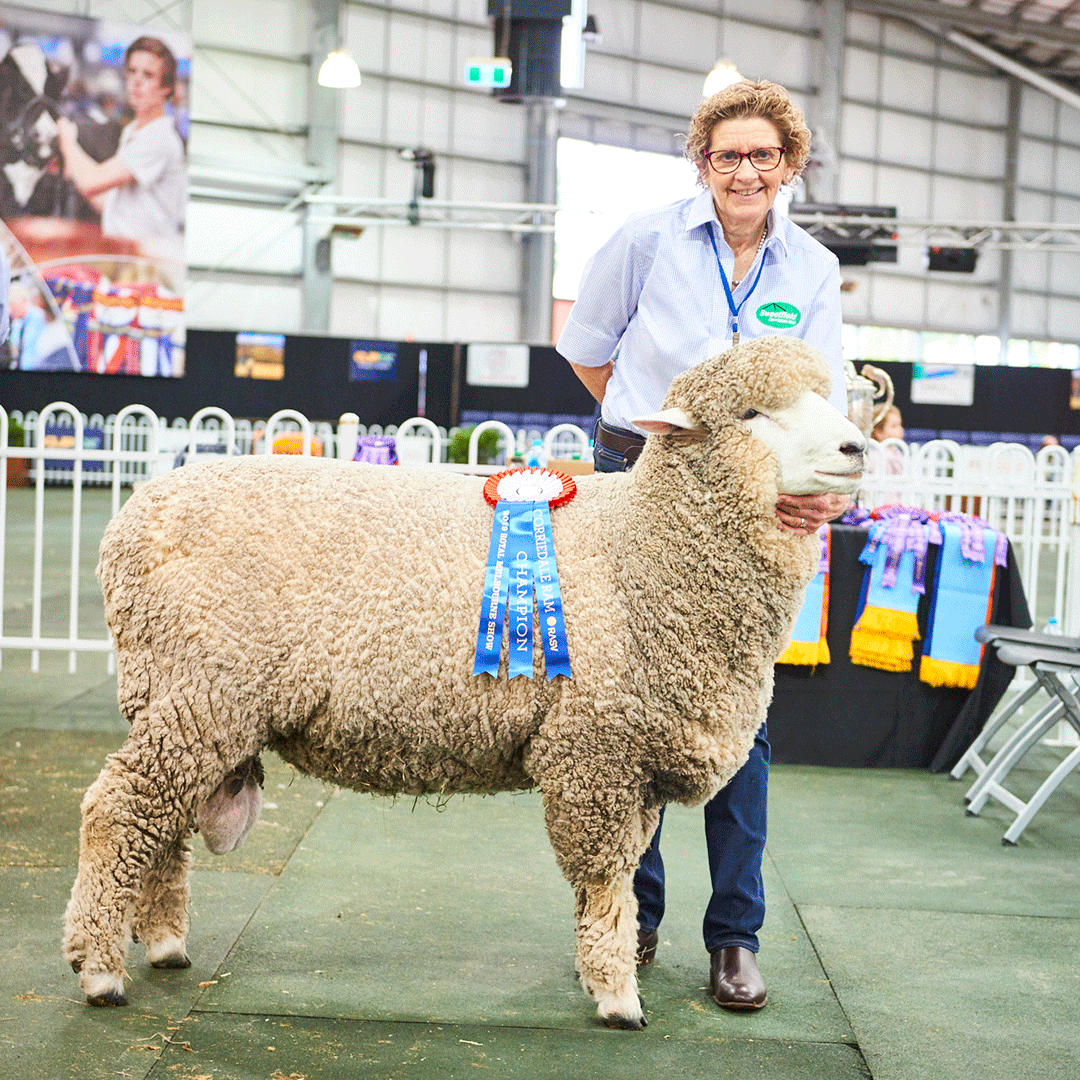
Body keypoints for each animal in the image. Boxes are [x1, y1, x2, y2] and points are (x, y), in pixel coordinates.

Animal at [63, 336, 864, 1028]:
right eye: (752, 415)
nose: (857, 447)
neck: (643, 548)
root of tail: (132, 518)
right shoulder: (594, 750)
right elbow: (605, 881)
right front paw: (617, 997)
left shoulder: (631, 761)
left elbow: (621, 884)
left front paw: (605, 968)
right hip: (202, 692)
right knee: (116, 810)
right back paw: (100, 970)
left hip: (187, 700)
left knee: (161, 824)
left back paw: (164, 943)